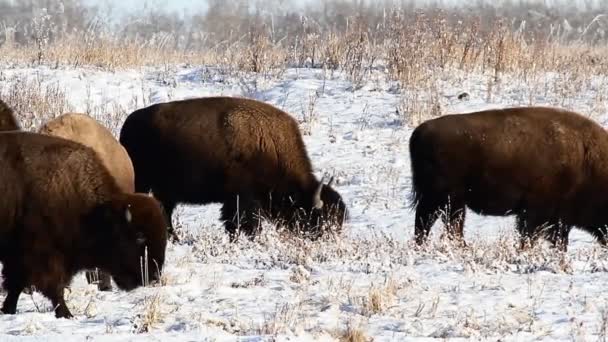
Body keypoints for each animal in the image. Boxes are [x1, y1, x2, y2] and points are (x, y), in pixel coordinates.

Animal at [0, 131, 167, 318]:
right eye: (139, 236)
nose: (152, 277)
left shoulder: (20, 259)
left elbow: (16, 286)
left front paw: (7, 309)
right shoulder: (44, 257)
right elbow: (53, 288)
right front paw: (66, 314)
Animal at [119, 95, 346, 240]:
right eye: (319, 218)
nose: (331, 239)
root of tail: (128, 123)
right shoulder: (242, 199)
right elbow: (244, 223)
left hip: (165, 190)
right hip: (142, 182)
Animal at [408, 105, 608, 250]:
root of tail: (419, 132)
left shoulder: (557, 219)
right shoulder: (535, 212)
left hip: (442, 201)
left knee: (427, 223)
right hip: (448, 199)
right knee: (446, 225)